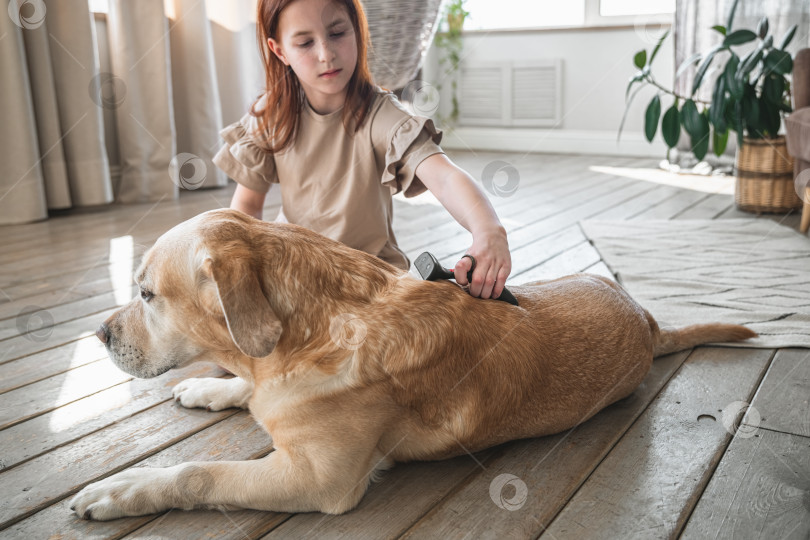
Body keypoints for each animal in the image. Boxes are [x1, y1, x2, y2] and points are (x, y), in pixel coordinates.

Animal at [68, 208, 752, 520]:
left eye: (147, 293)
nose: (97, 334)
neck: (305, 336)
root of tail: (648, 319)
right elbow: (247, 393)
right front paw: (212, 390)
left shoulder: (317, 480)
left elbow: (199, 474)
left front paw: (125, 489)